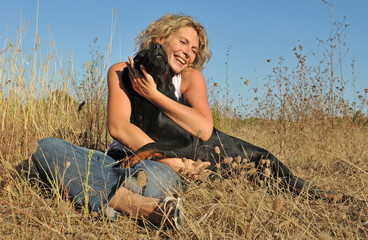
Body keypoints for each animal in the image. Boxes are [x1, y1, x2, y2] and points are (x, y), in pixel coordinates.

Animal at [121, 42, 344, 199]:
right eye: (142, 53)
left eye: (165, 56)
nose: (158, 47)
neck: (153, 98)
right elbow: (145, 143)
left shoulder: (190, 143)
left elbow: (149, 144)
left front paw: (127, 160)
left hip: (279, 176)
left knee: (312, 189)